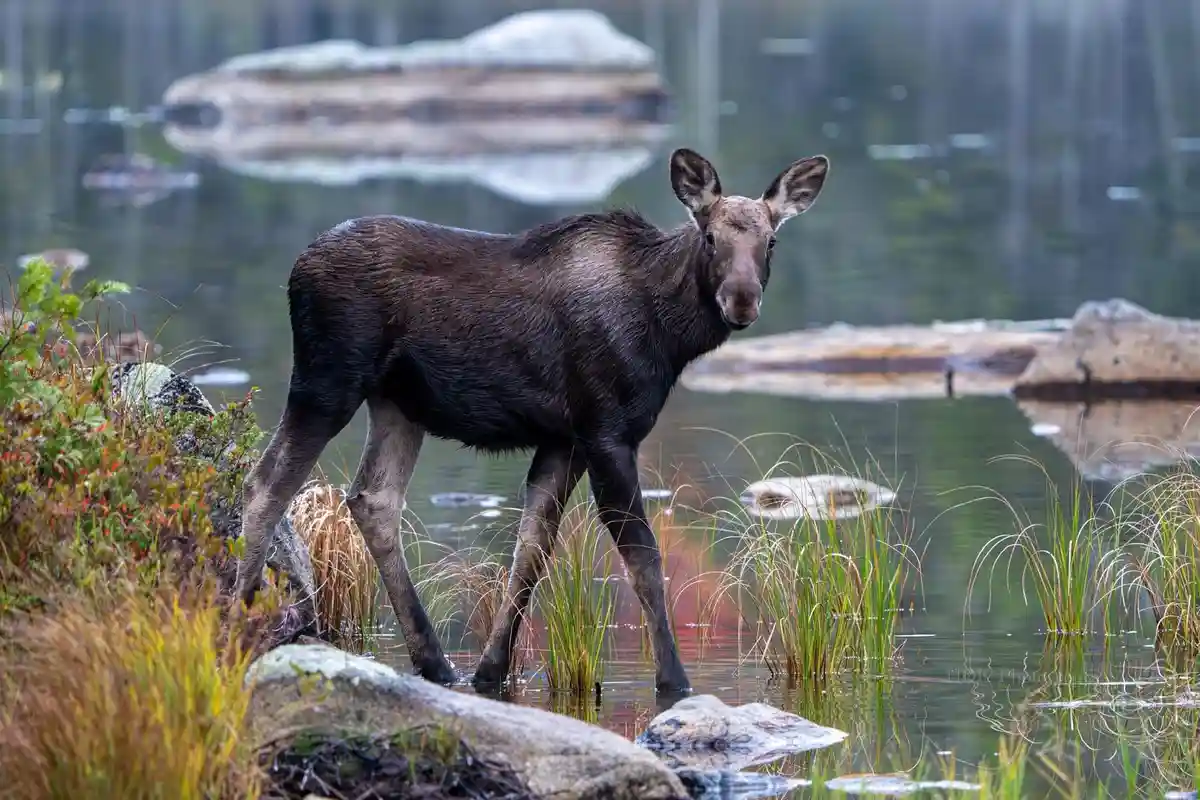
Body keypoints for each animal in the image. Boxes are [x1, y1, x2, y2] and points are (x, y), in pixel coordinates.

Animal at [233, 147, 829, 695]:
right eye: (709, 237)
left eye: (770, 241)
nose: (742, 300)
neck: (668, 333)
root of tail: (296, 271)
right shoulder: (607, 431)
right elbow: (643, 556)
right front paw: (675, 680)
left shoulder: (563, 440)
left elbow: (531, 550)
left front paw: (491, 670)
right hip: (327, 381)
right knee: (265, 484)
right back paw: (242, 616)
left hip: (397, 404)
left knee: (372, 498)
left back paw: (436, 662)